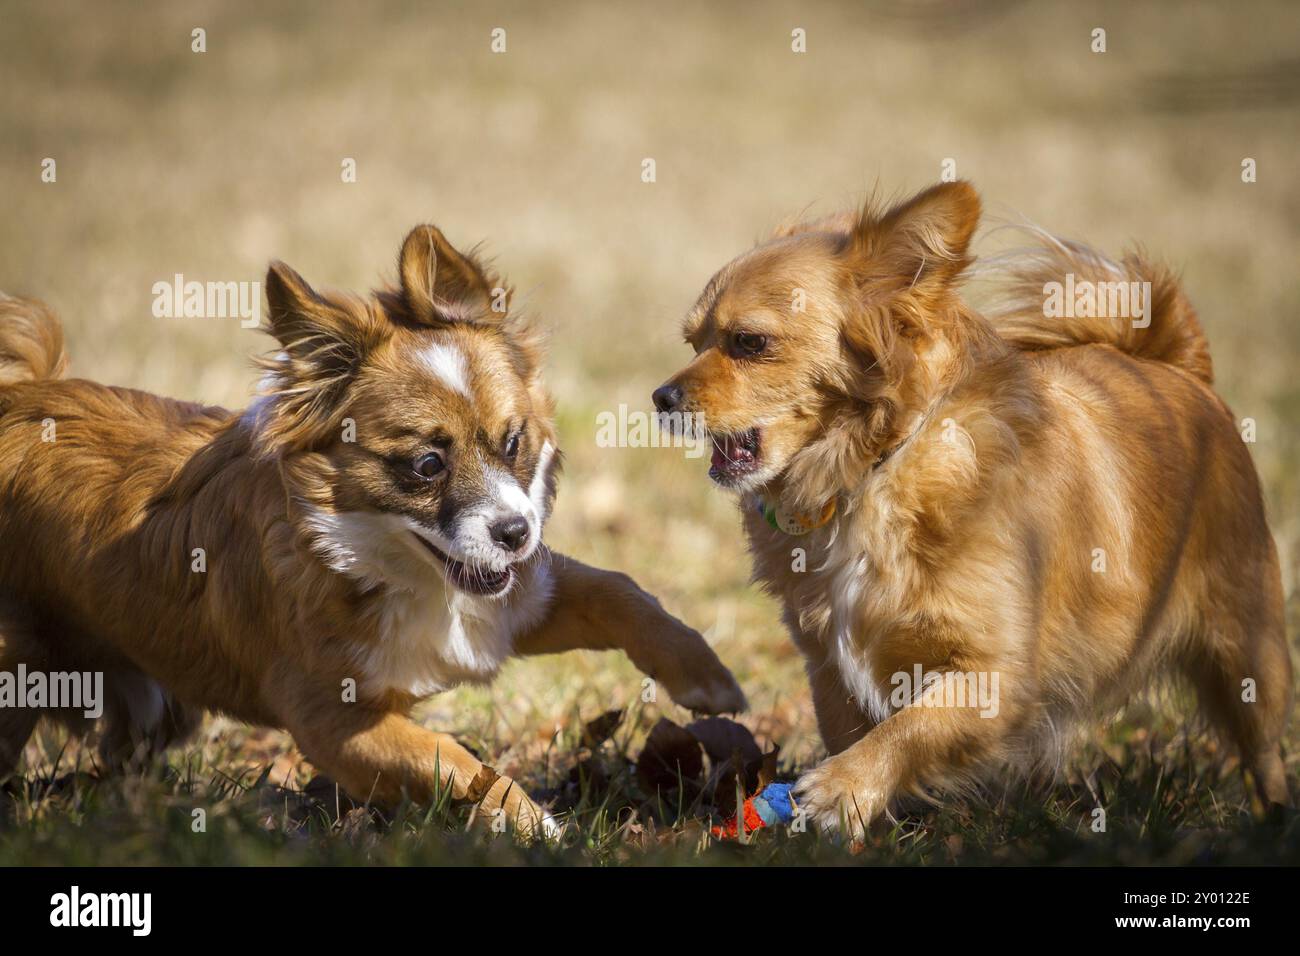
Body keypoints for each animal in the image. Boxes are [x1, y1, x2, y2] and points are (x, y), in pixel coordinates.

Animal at [0, 222, 743, 832]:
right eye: (426, 464)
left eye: (513, 443)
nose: (514, 532)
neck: (396, 567)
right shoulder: (338, 724)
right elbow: (452, 761)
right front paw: (533, 825)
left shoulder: (514, 605)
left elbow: (620, 591)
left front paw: (706, 678)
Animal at [655, 180, 1294, 837]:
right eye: (694, 342)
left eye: (749, 343)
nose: (661, 397)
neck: (870, 474)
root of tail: (1178, 365)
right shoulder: (829, 666)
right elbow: (855, 730)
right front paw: (860, 818)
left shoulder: (1000, 678)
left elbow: (910, 728)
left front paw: (838, 789)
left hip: (1249, 656)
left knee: (1263, 749)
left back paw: (1272, 817)